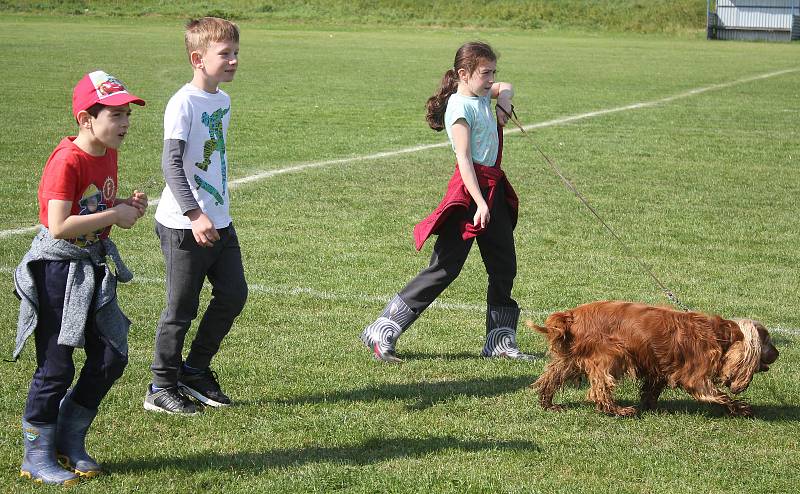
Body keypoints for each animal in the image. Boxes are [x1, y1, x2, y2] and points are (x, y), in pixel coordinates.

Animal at [528, 302, 780, 416]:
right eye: (767, 340)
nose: (778, 353)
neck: (720, 336)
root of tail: (572, 315)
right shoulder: (696, 377)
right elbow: (719, 395)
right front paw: (742, 408)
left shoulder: (658, 368)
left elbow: (652, 388)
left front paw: (650, 405)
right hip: (610, 355)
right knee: (600, 388)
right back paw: (618, 410)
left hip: (571, 358)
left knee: (551, 377)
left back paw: (548, 403)